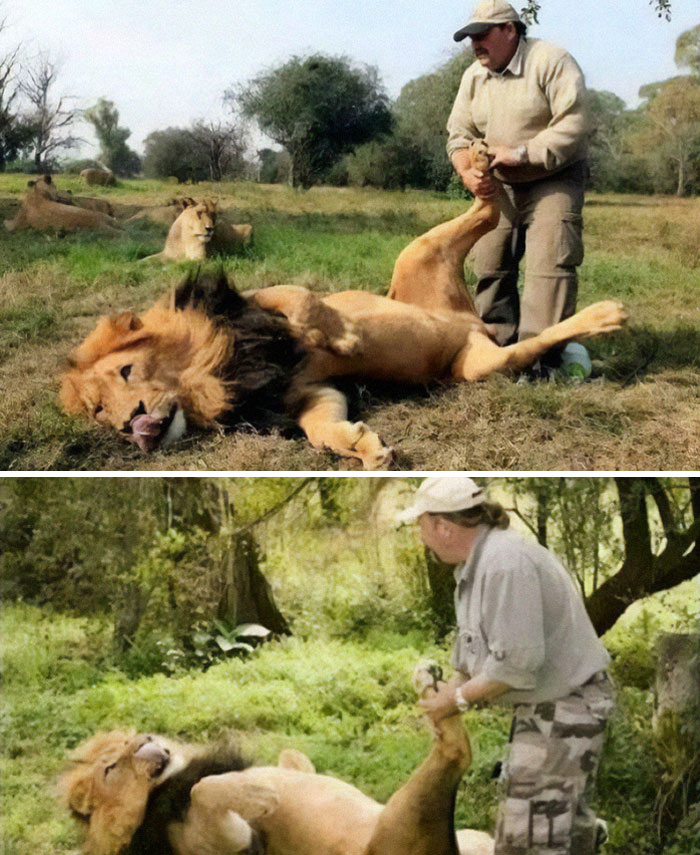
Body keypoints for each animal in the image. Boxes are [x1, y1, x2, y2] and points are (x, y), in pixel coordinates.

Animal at [63, 664, 494, 855]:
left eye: (130, 739)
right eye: (111, 767)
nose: (145, 741)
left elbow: (291, 757)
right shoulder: (224, 841)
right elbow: (204, 789)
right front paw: (257, 794)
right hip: (403, 821)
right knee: (455, 750)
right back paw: (430, 689)